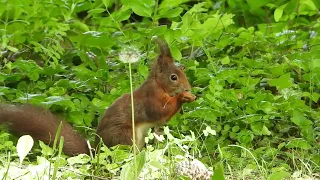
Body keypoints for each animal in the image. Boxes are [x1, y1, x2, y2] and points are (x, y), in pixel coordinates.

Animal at [0, 38, 195, 155]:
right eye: (174, 77)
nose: (188, 87)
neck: (159, 86)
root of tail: (96, 151)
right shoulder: (150, 99)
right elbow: (159, 112)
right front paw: (182, 98)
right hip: (124, 136)